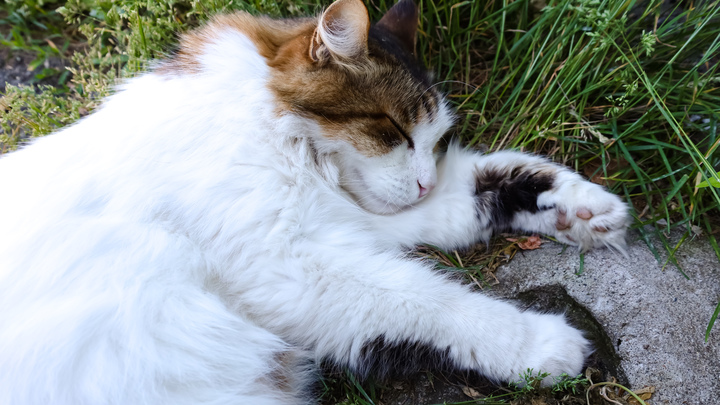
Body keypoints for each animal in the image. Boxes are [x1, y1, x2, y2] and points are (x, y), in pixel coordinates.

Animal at [0, 0, 632, 402]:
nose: (422, 182)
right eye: (393, 131)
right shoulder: (293, 267)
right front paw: (541, 345)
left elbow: (483, 183)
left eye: (432, 141)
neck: (270, 127)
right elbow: (436, 303)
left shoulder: (353, 223)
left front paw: (581, 209)